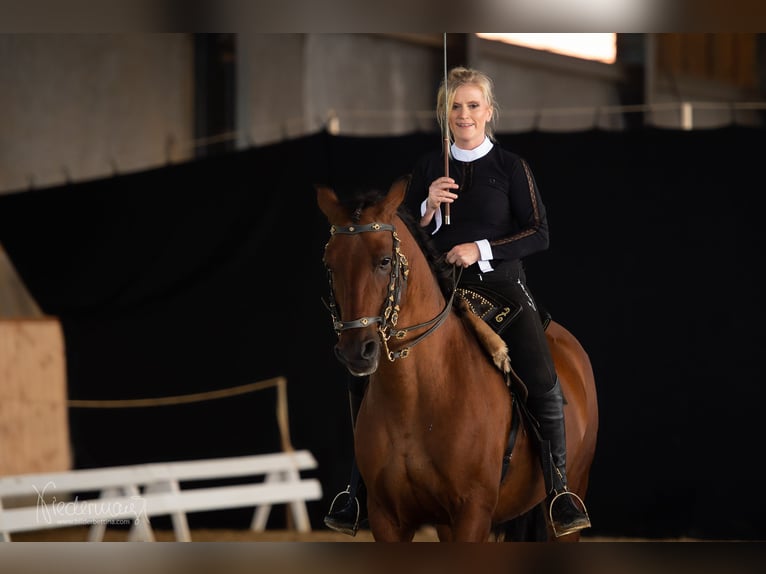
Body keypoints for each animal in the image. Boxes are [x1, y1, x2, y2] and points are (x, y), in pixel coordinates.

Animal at [318, 177, 600, 544]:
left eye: (384, 261)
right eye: (330, 264)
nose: (356, 350)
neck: (416, 397)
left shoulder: (472, 513)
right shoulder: (388, 519)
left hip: (571, 496)